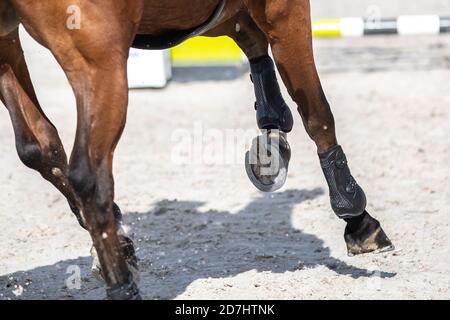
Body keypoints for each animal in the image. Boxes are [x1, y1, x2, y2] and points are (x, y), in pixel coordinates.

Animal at [0, 0, 392, 300]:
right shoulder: (284, 10)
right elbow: (317, 113)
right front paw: (357, 218)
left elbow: (250, 38)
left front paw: (271, 140)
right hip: (98, 59)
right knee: (88, 177)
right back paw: (123, 284)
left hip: (13, 45)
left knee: (41, 148)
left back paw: (120, 244)